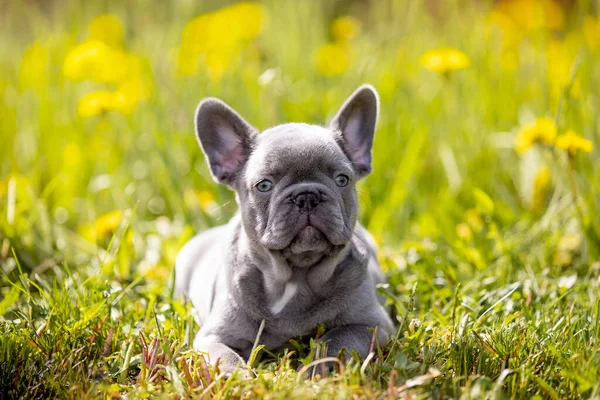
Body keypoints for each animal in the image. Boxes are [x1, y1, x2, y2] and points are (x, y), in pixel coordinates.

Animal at [176, 84, 396, 376]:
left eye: (342, 180)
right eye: (264, 185)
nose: (307, 195)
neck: (296, 278)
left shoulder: (371, 325)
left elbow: (334, 340)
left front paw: (312, 370)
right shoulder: (214, 337)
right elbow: (225, 357)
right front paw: (240, 378)